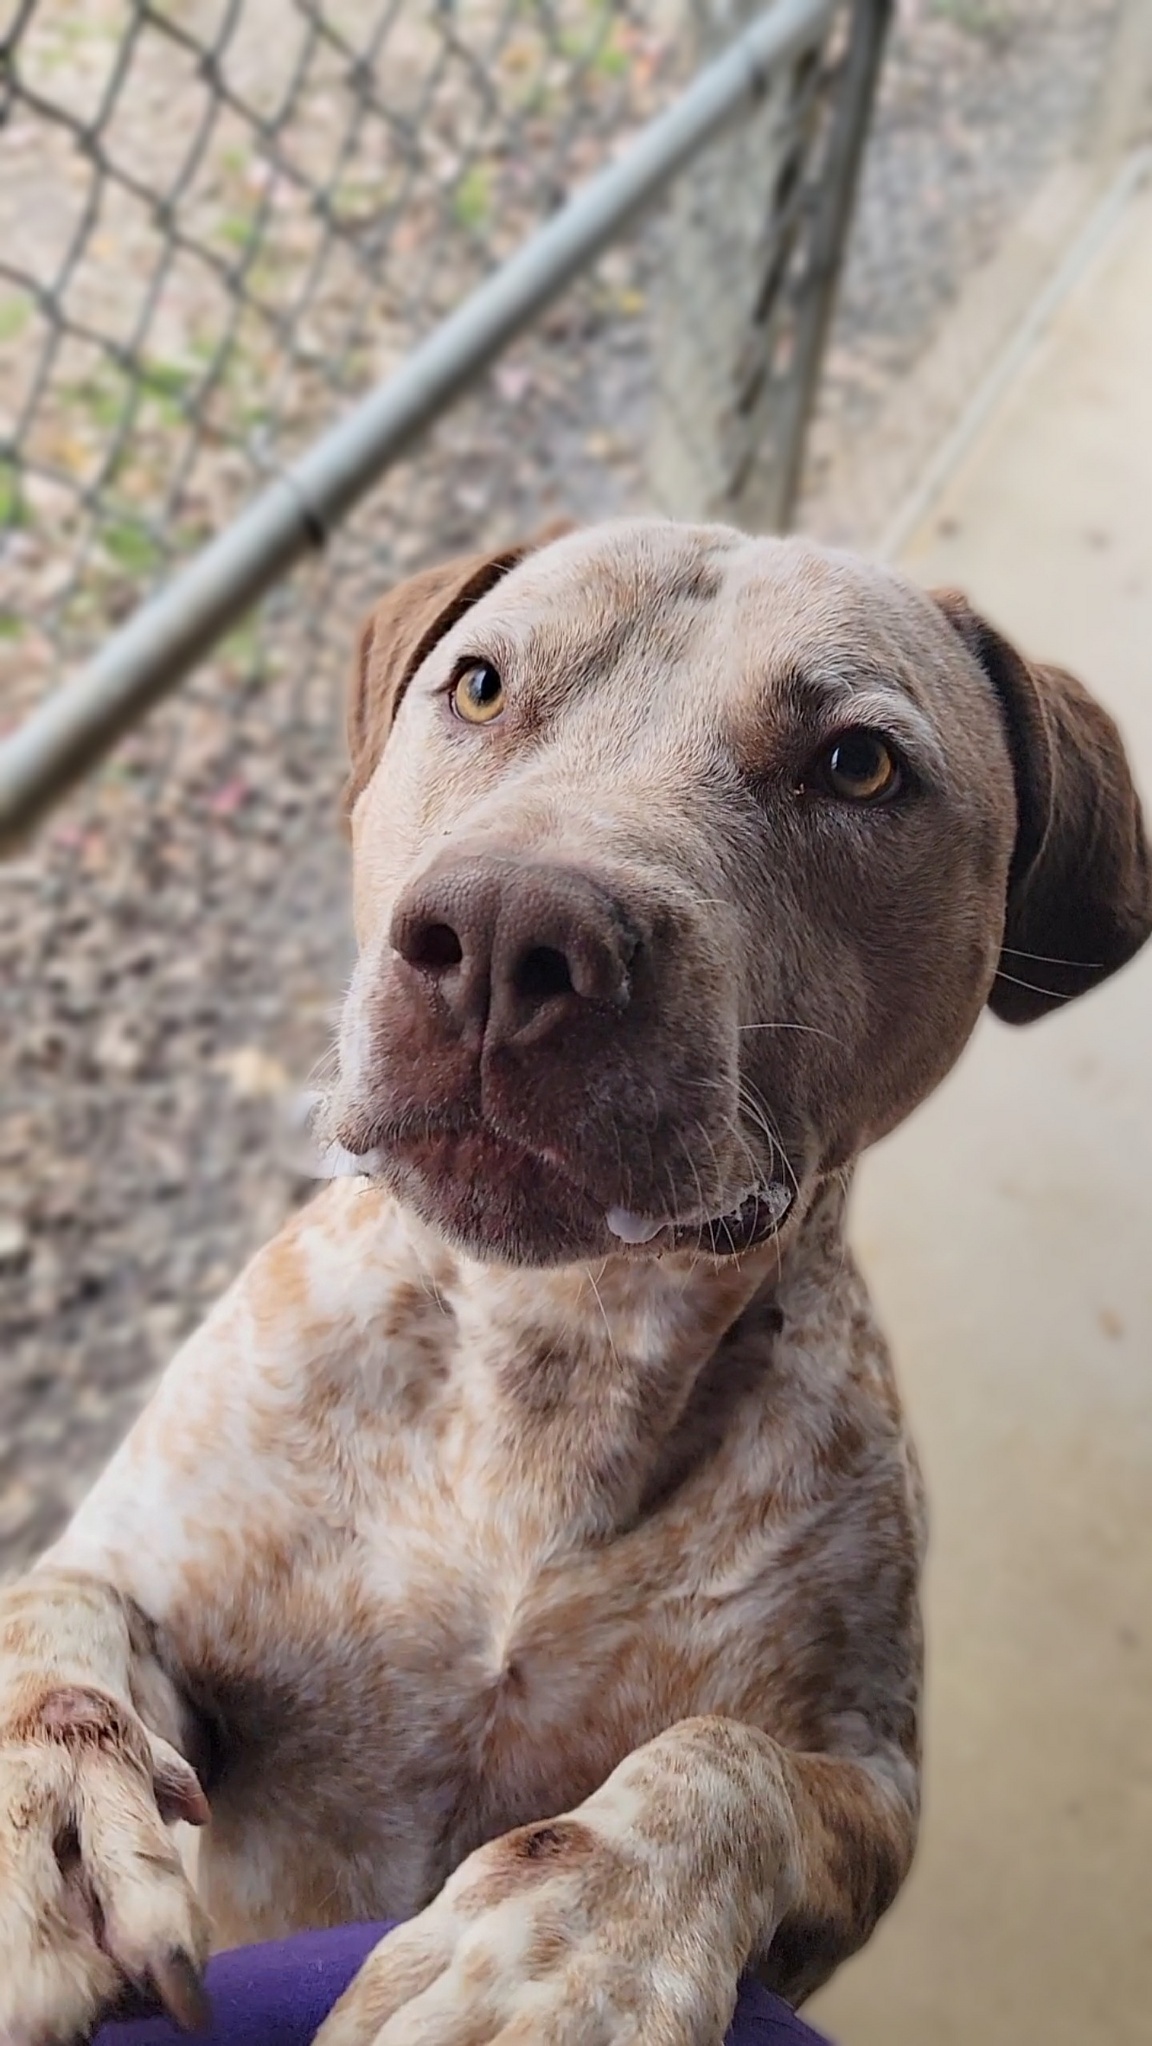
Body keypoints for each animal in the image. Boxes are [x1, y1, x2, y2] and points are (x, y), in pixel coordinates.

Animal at [2, 523, 1152, 2046]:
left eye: (858, 763)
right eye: (481, 687)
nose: (504, 932)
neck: (551, 1348)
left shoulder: (868, 1783)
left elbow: (722, 1760)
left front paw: (568, 1946)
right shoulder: (148, 1573)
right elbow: (49, 1617)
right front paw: (42, 1820)